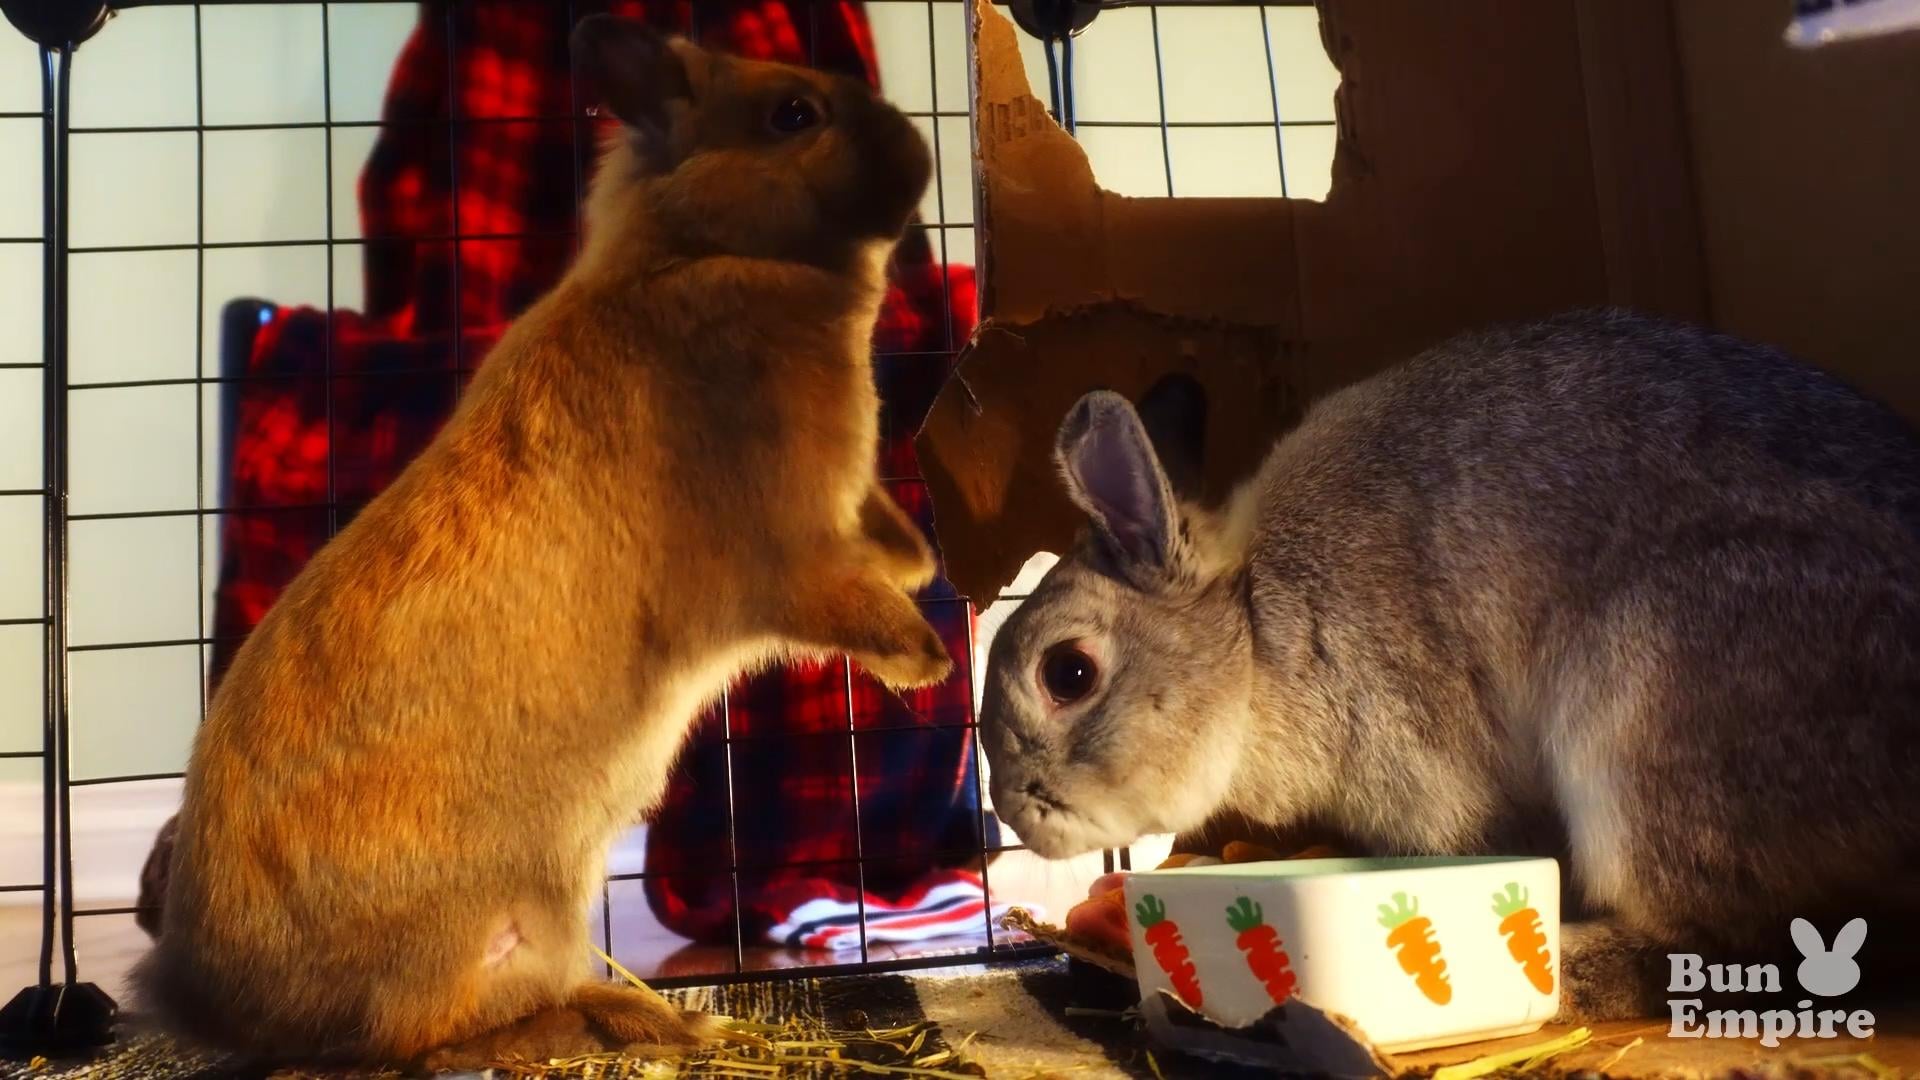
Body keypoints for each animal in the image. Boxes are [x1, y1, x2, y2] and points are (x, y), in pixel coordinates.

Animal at [129, 14, 951, 1072]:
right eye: (794, 115)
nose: (917, 150)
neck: (696, 251)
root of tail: (219, 998)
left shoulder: (845, 511)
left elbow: (885, 541)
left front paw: (925, 564)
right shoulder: (792, 552)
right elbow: (849, 605)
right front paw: (925, 661)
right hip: (515, 917)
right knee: (440, 1034)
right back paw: (662, 1023)